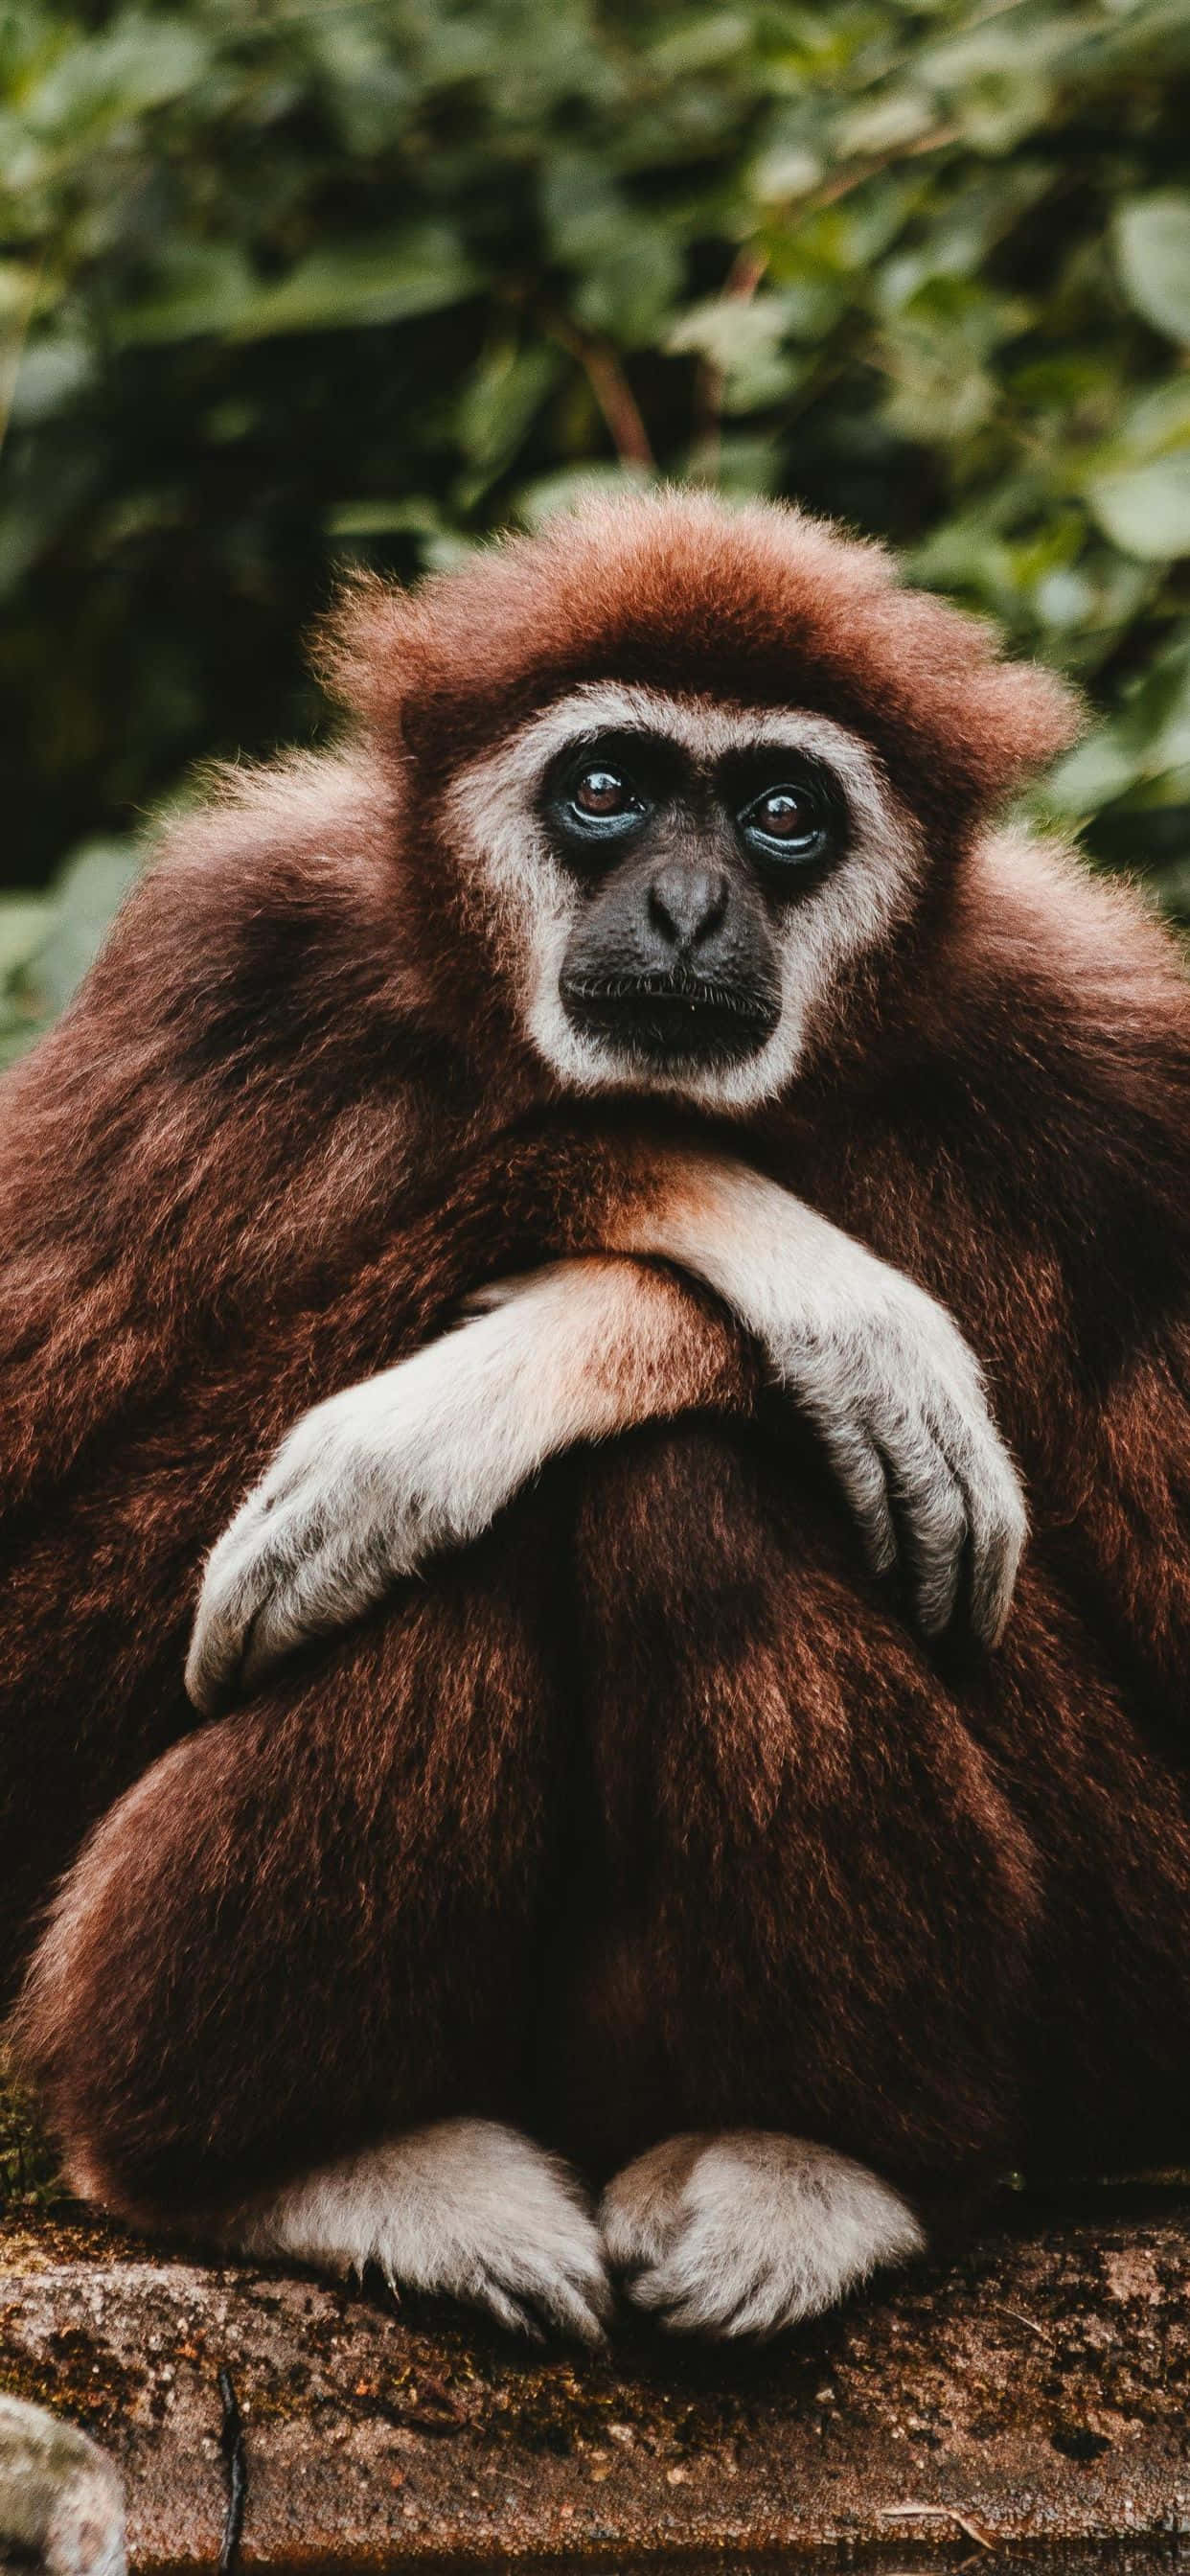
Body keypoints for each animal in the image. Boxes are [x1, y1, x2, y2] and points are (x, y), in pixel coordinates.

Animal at [9, 490, 1190, 2347]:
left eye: (783, 813)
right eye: (608, 787)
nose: (693, 906)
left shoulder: (1120, 1068)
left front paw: (598, 1330)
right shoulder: (215, 962)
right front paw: (703, 1214)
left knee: (687, 1484)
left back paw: (819, 2156)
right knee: (423, 1543)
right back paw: (288, 2162)